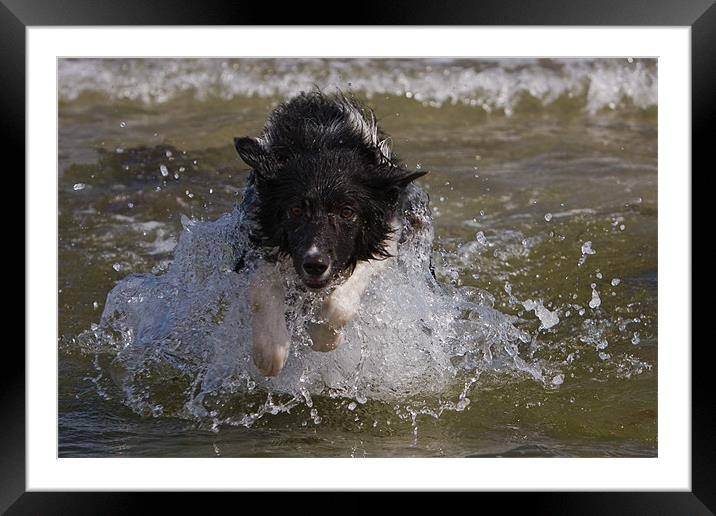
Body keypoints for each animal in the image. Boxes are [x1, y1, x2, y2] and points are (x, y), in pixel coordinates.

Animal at [234, 90, 430, 376]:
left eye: (347, 212)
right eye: (295, 209)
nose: (315, 264)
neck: (322, 145)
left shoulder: (384, 239)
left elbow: (340, 304)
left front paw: (323, 337)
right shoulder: (259, 238)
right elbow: (262, 289)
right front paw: (270, 350)